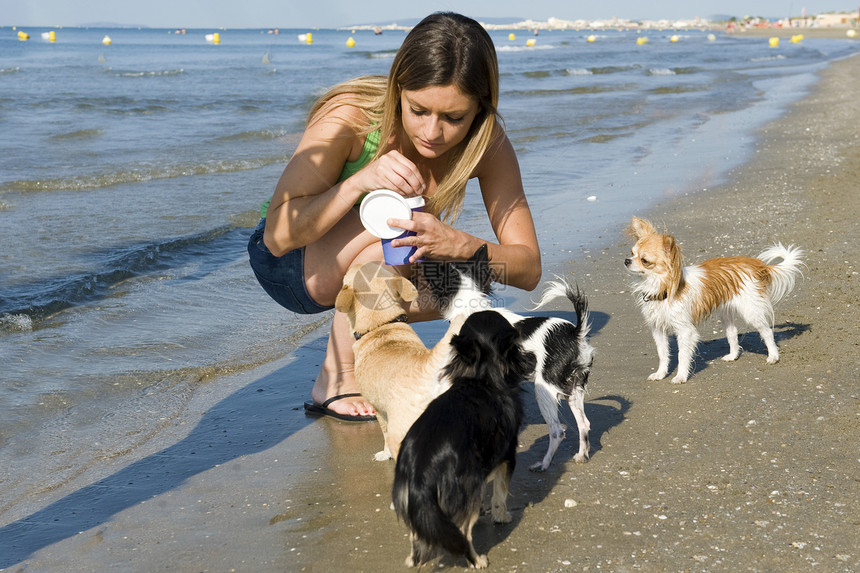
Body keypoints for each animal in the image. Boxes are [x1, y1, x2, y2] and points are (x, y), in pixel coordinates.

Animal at [338, 262, 466, 462]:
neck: (382, 326)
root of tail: (427, 367)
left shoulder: (379, 409)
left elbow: (383, 431)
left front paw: (384, 454)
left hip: (401, 433)